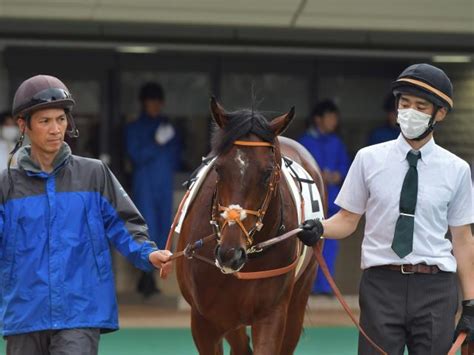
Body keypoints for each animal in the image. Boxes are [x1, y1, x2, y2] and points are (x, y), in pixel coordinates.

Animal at [175, 98, 326, 355]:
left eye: (267, 173)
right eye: (218, 169)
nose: (230, 254)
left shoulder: (272, 314)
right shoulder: (204, 321)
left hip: (300, 295)